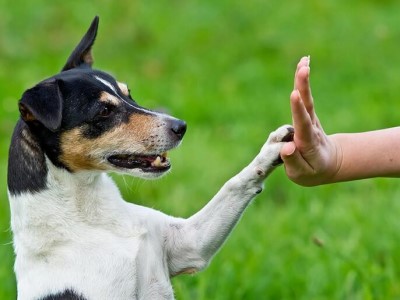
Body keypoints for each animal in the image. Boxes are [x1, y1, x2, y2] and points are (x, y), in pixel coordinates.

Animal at [7, 17, 294, 300]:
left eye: (128, 93)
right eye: (104, 111)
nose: (181, 126)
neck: (91, 217)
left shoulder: (189, 243)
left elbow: (234, 184)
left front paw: (274, 148)